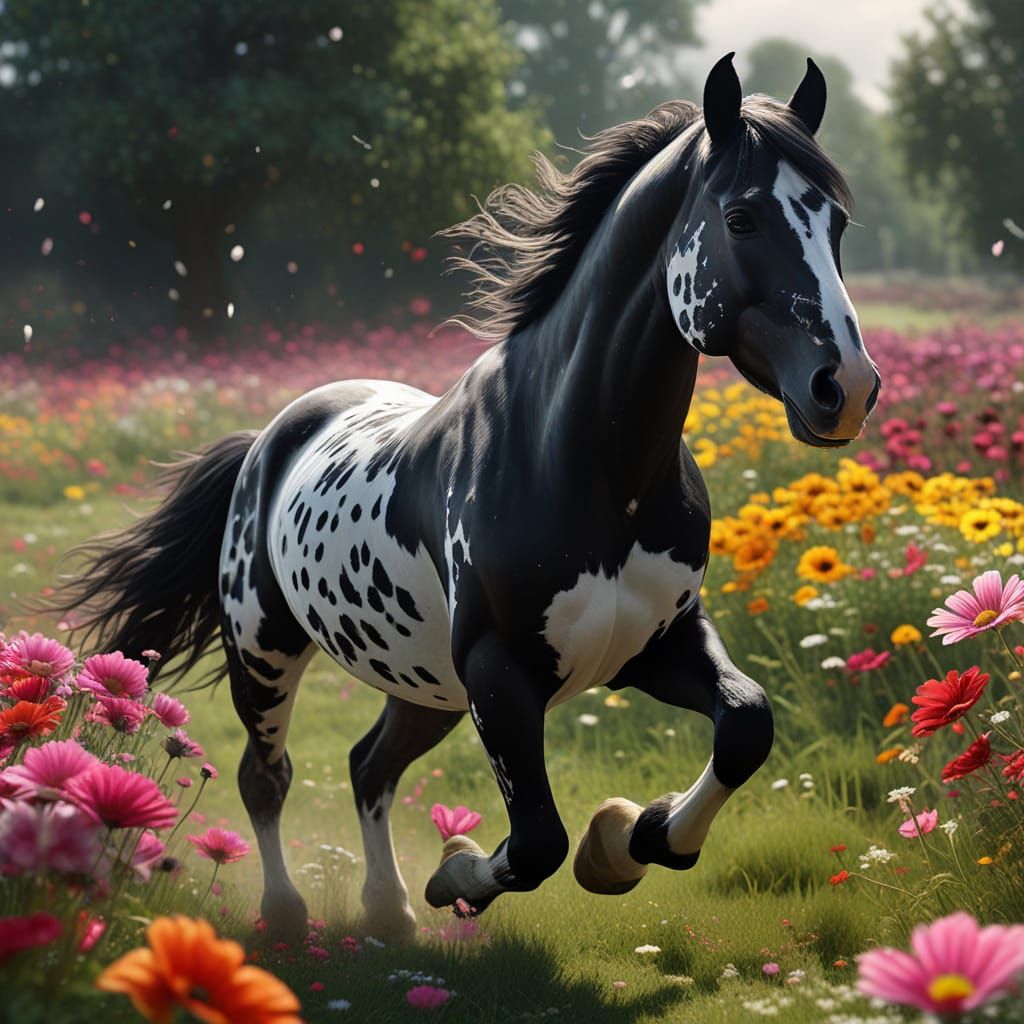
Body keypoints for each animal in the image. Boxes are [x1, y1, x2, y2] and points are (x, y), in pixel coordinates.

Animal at [53, 54, 880, 942]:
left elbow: (746, 726)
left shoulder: (660, 643)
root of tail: (269, 439)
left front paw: (636, 838)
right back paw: (287, 913)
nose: (846, 388)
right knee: (265, 775)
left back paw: (388, 912)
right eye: (742, 218)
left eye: (837, 223)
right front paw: (463, 874)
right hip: (267, 652)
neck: (588, 467)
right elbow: (539, 840)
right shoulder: (499, 670)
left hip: (424, 682)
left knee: (368, 766)